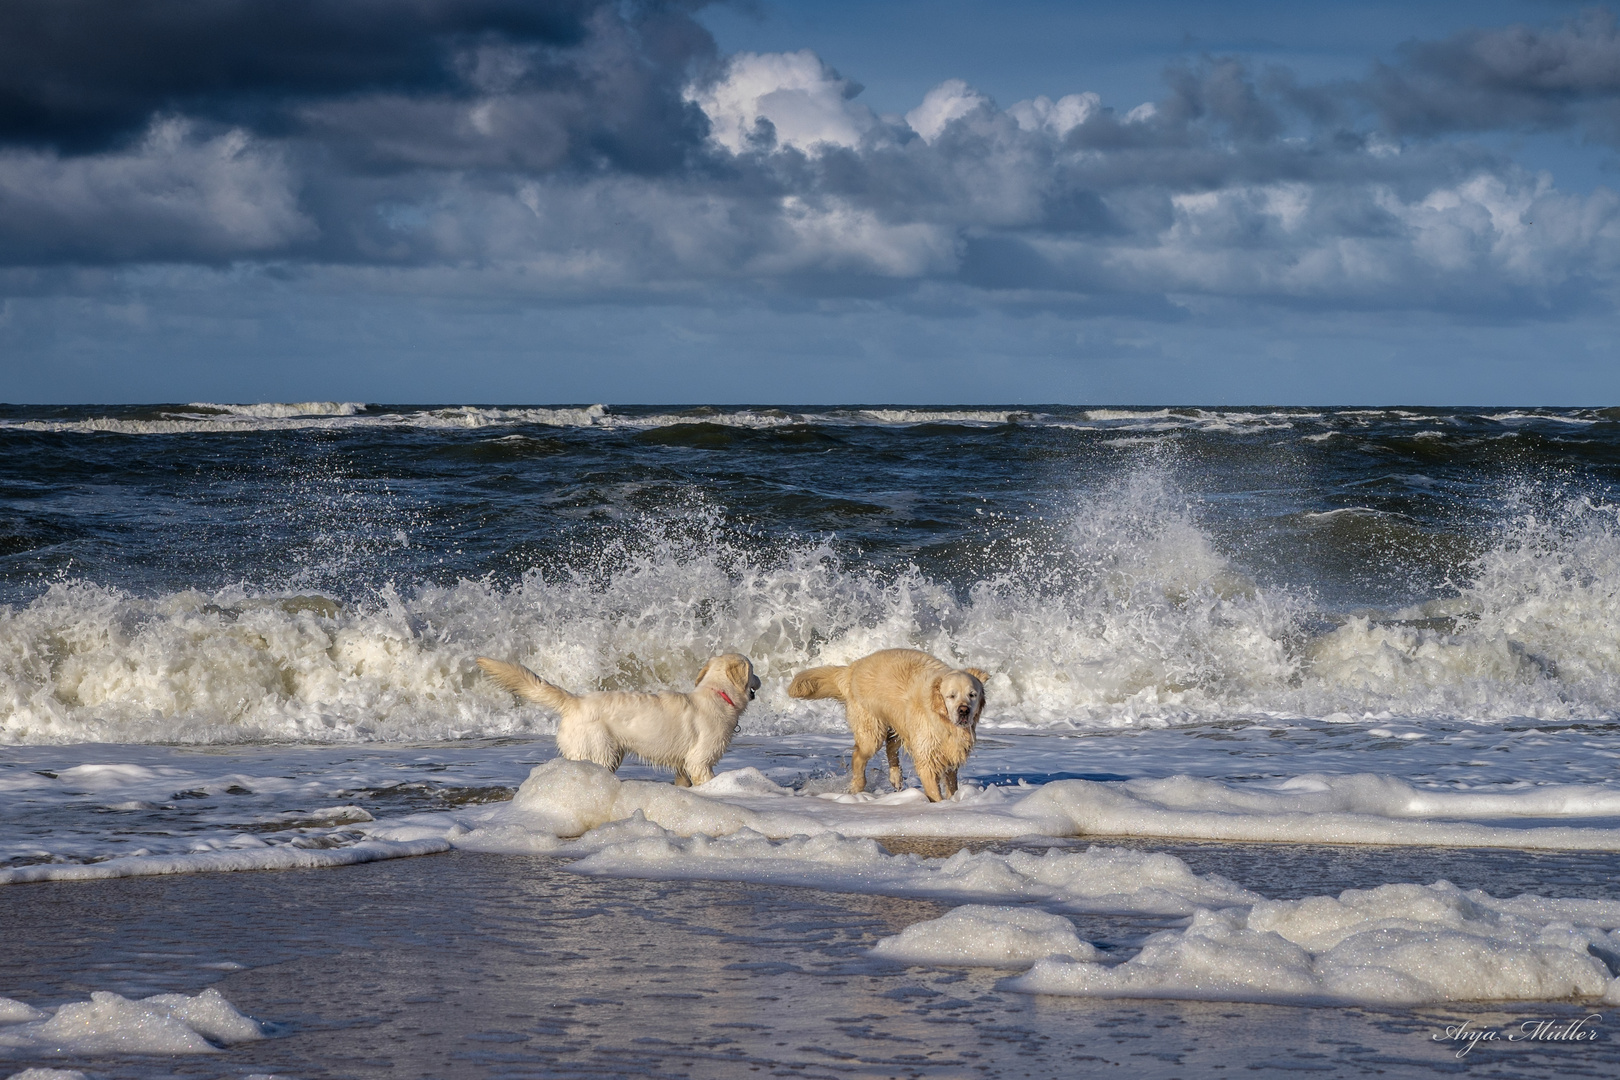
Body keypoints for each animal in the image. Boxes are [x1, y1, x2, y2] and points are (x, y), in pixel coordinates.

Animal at [476, 650, 761, 786]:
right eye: (753, 670)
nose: (760, 680)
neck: (718, 694)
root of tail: (576, 701)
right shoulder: (700, 762)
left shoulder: (683, 765)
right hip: (599, 751)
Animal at [787, 650, 984, 803]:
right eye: (951, 695)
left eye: (972, 694)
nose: (964, 710)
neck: (942, 719)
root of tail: (852, 668)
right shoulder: (927, 755)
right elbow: (933, 789)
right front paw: (941, 804)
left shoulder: (950, 753)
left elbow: (951, 782)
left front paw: (953, 799)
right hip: (872, 730)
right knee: (859, 756)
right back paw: (857, 786)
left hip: (897, 721)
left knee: (891, 746)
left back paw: (895, 778)